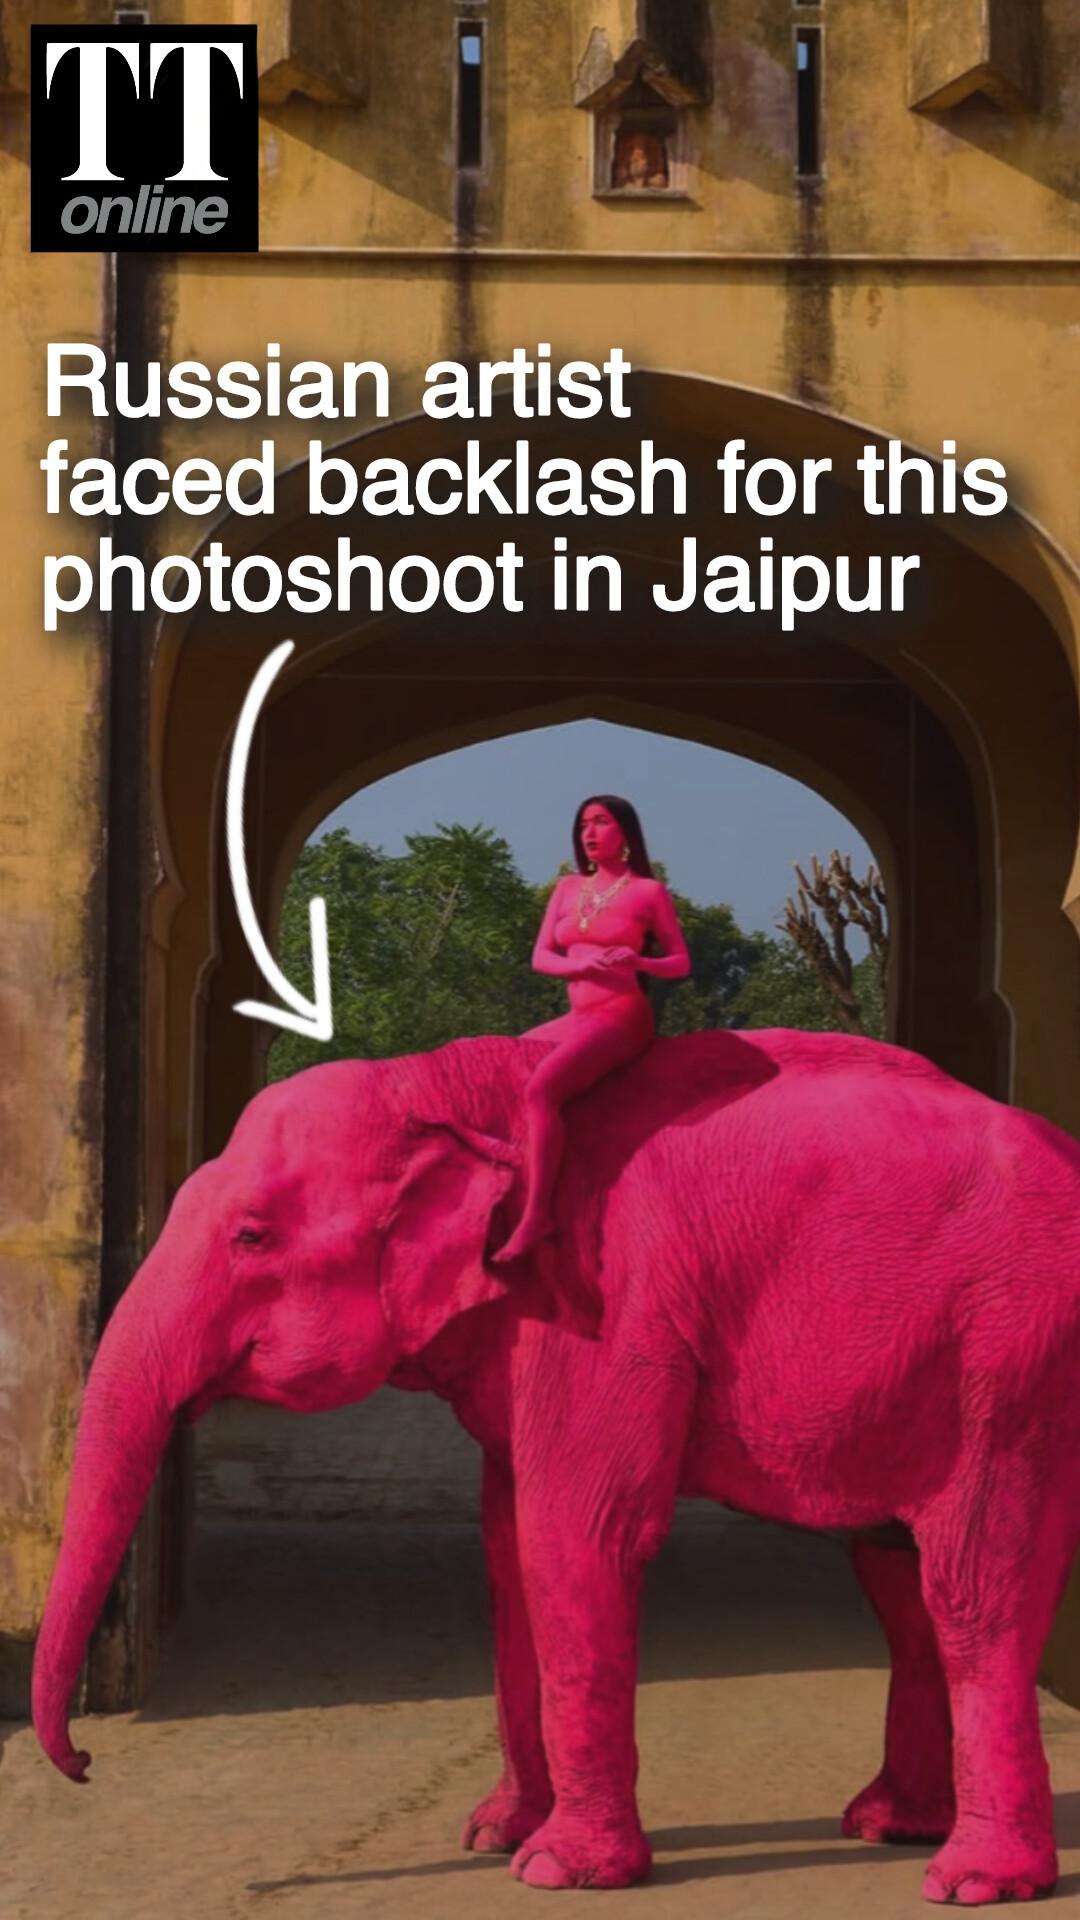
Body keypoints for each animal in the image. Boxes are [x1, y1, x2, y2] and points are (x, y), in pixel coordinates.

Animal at [30, 1027, 1080, 1904]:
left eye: (250, 1235)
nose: (84, 1765)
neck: (447, 1081)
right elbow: (506, 1550)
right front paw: (492, 1835)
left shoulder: (607, 1307)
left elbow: (574, 1532)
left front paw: (555, 1871)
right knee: (896, 1576)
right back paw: (888, 1828)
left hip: (1011, 1357)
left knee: (970, 1585)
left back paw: (971, 1882)